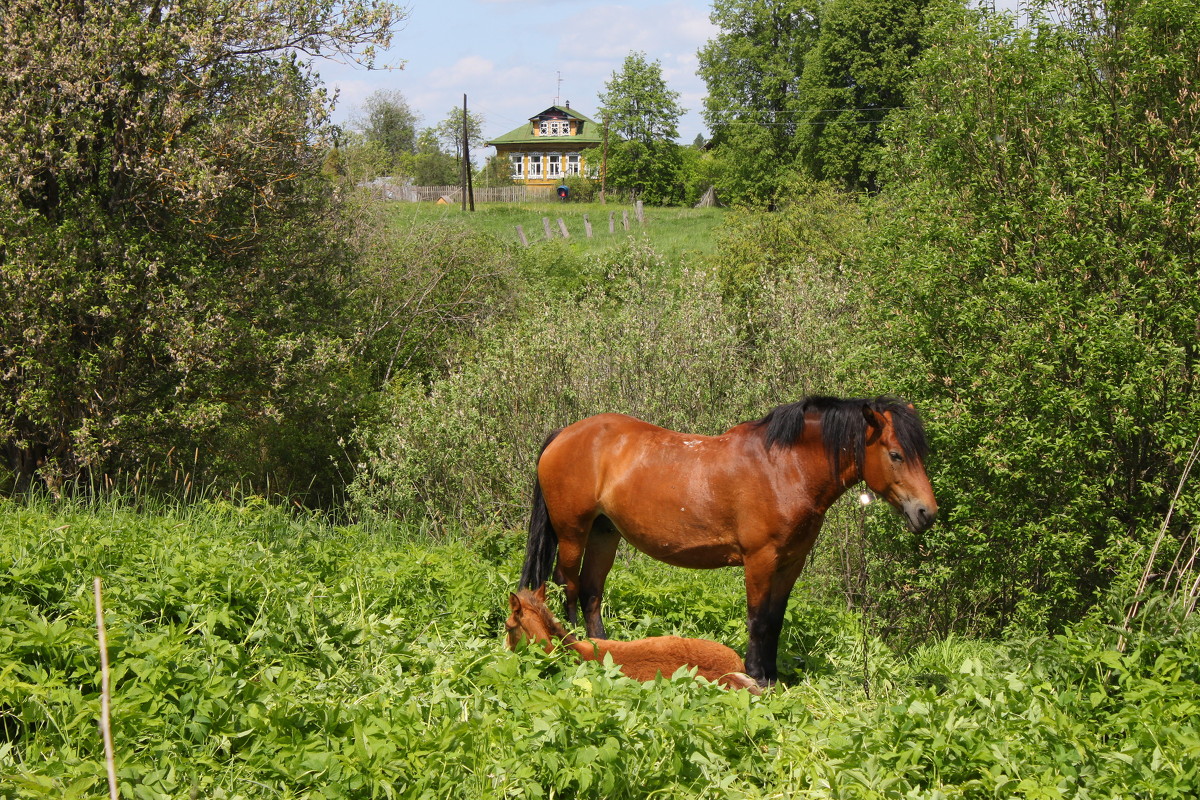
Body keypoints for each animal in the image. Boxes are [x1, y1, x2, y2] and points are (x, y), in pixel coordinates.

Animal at [523, 398, 936, 686]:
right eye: (896, 454)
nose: (926, 513)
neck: (783, 469)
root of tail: (564, 434)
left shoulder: (791, 562)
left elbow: (775, 619)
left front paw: (772, 675)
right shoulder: (760, 559)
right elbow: (758, 618)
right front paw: (757, 674)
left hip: (604, 533)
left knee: (592, 591)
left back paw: (606, 650)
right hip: (573, 532)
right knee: (569, 586)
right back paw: (579, 646)